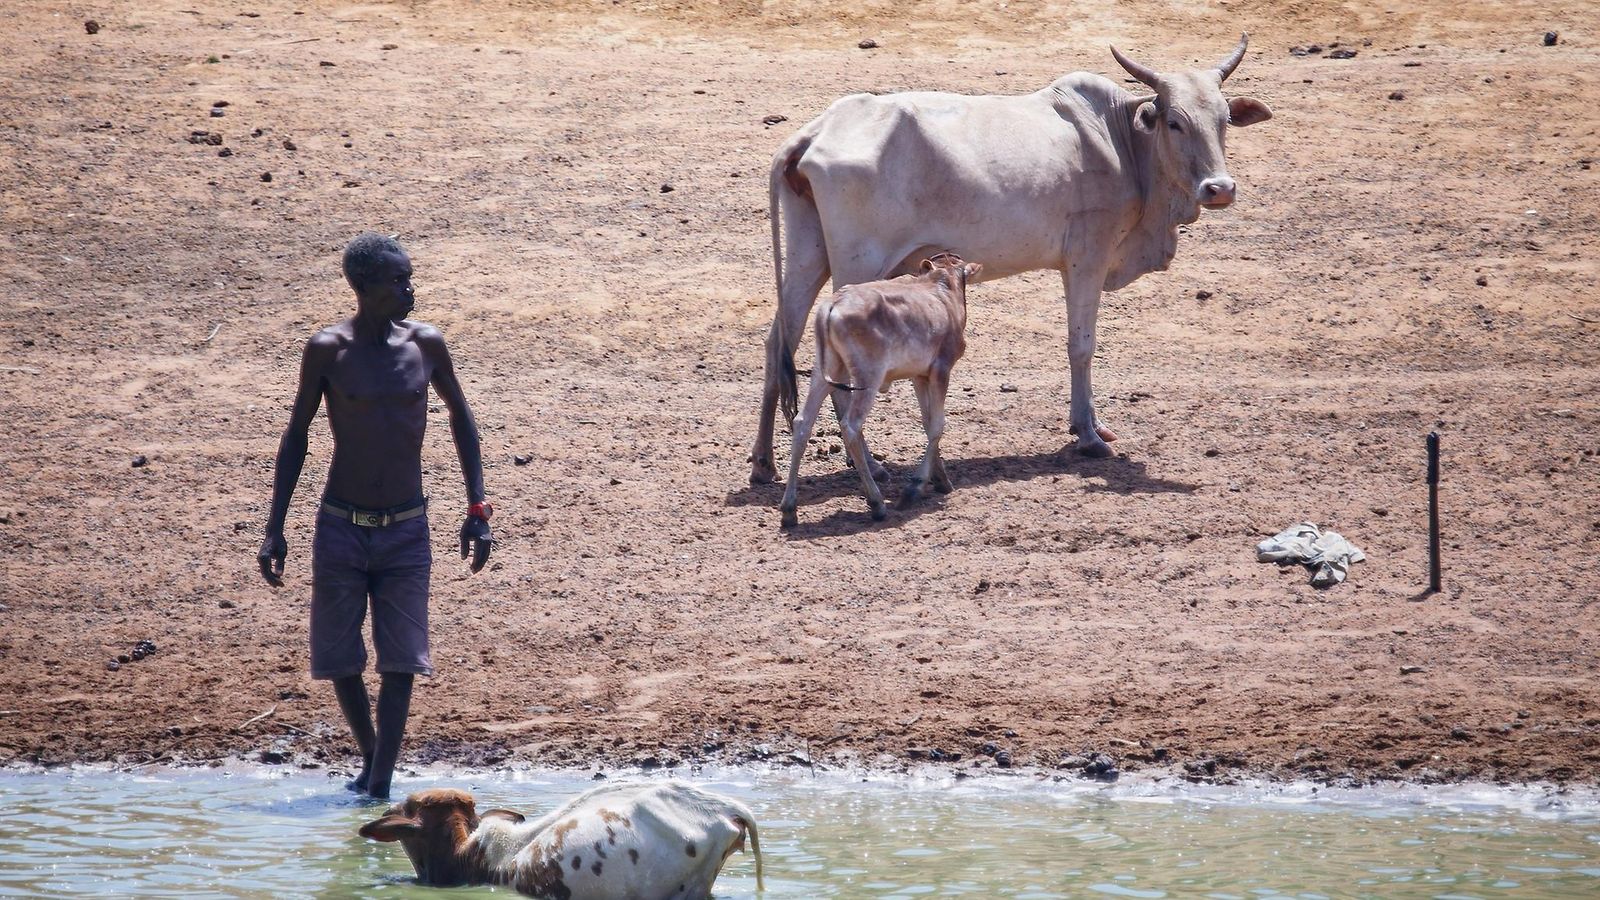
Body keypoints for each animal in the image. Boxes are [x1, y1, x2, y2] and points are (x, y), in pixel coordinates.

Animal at [752, 35, 1273, 483]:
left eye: (1224, 120)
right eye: (1174, 121)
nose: (1219, 188)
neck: (1122, 139)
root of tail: (816, 131)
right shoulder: (1088, 255)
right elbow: (1081, 345)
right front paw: (1087, 434)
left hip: (808, 255)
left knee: (781, 338)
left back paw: (763, 464)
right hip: (857, 268)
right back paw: (869, 463)